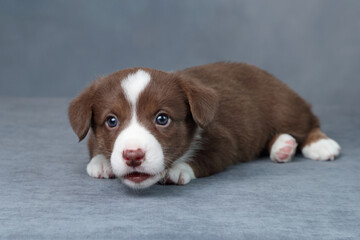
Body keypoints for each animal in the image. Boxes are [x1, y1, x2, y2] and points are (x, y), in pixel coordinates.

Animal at [67, 62, 340, 189]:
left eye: (162, 119)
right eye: (111, 121)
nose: (133, 156)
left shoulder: (224, 141)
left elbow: (203, 156)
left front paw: (177, 169)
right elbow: (94, 147)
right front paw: (101, 162)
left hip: (284, 107)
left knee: (308, 122)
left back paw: (321, 145)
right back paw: (283, 147)